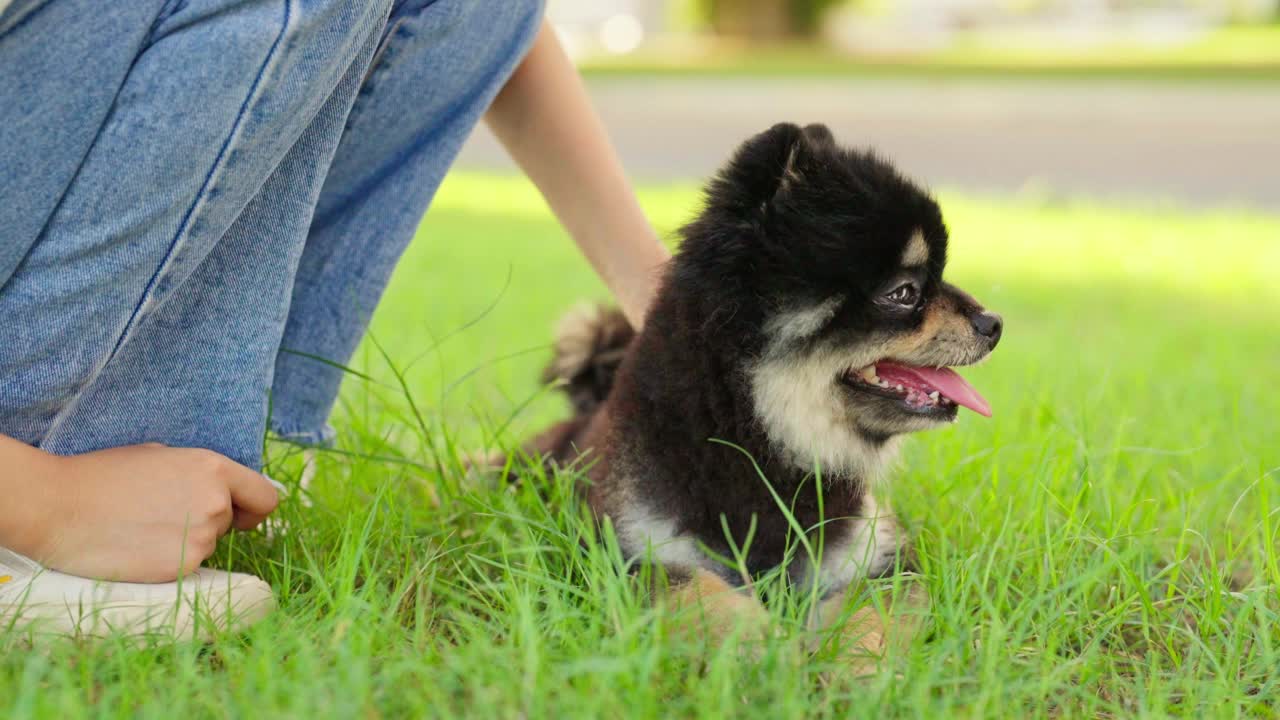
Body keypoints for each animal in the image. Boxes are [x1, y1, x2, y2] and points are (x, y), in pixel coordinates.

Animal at [522, 121, 998, 661]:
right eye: (904, 292)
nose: (994, 323)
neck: (766, 453)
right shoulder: (630, 549)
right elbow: (699, 590)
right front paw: (766, 652)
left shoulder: (876, 558)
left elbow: (868, 615)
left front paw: (851, 667)